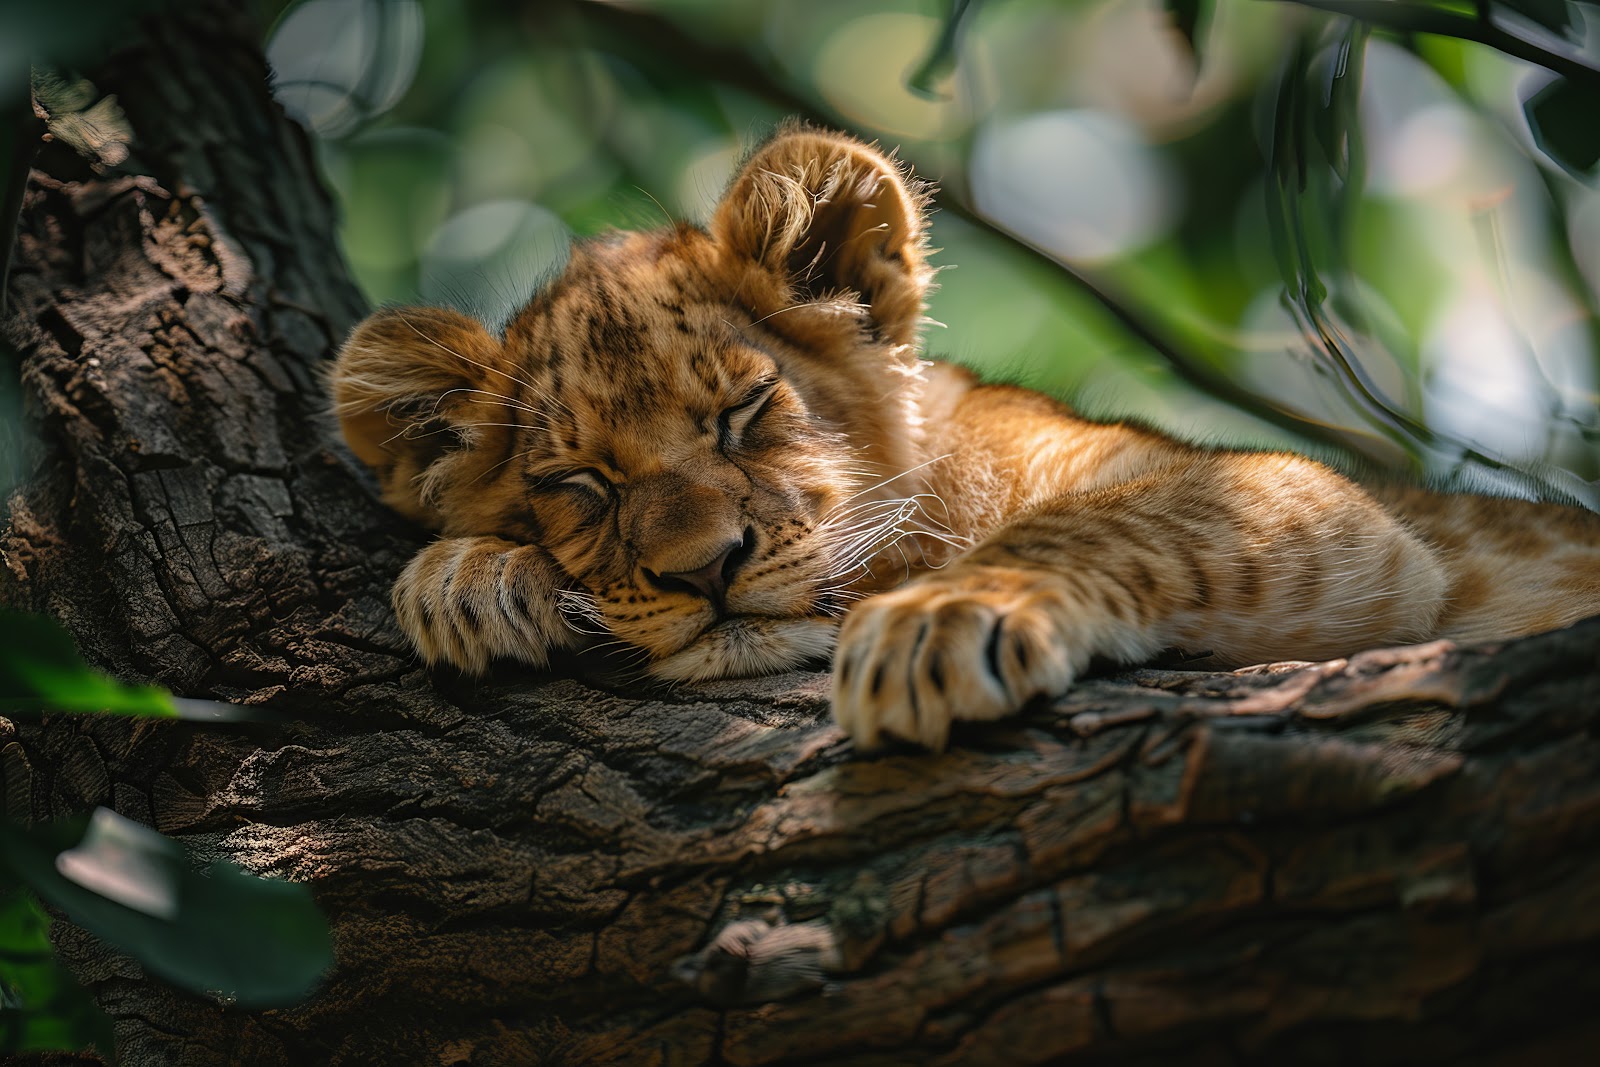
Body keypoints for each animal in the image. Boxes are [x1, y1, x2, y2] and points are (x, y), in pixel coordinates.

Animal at [331, 124, 1600, 750]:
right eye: (579, 480)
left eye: (744, 410)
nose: (706, 571)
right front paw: (466, 575)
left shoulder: (1327, 513)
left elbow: (1103, 524)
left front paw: (944, 621)